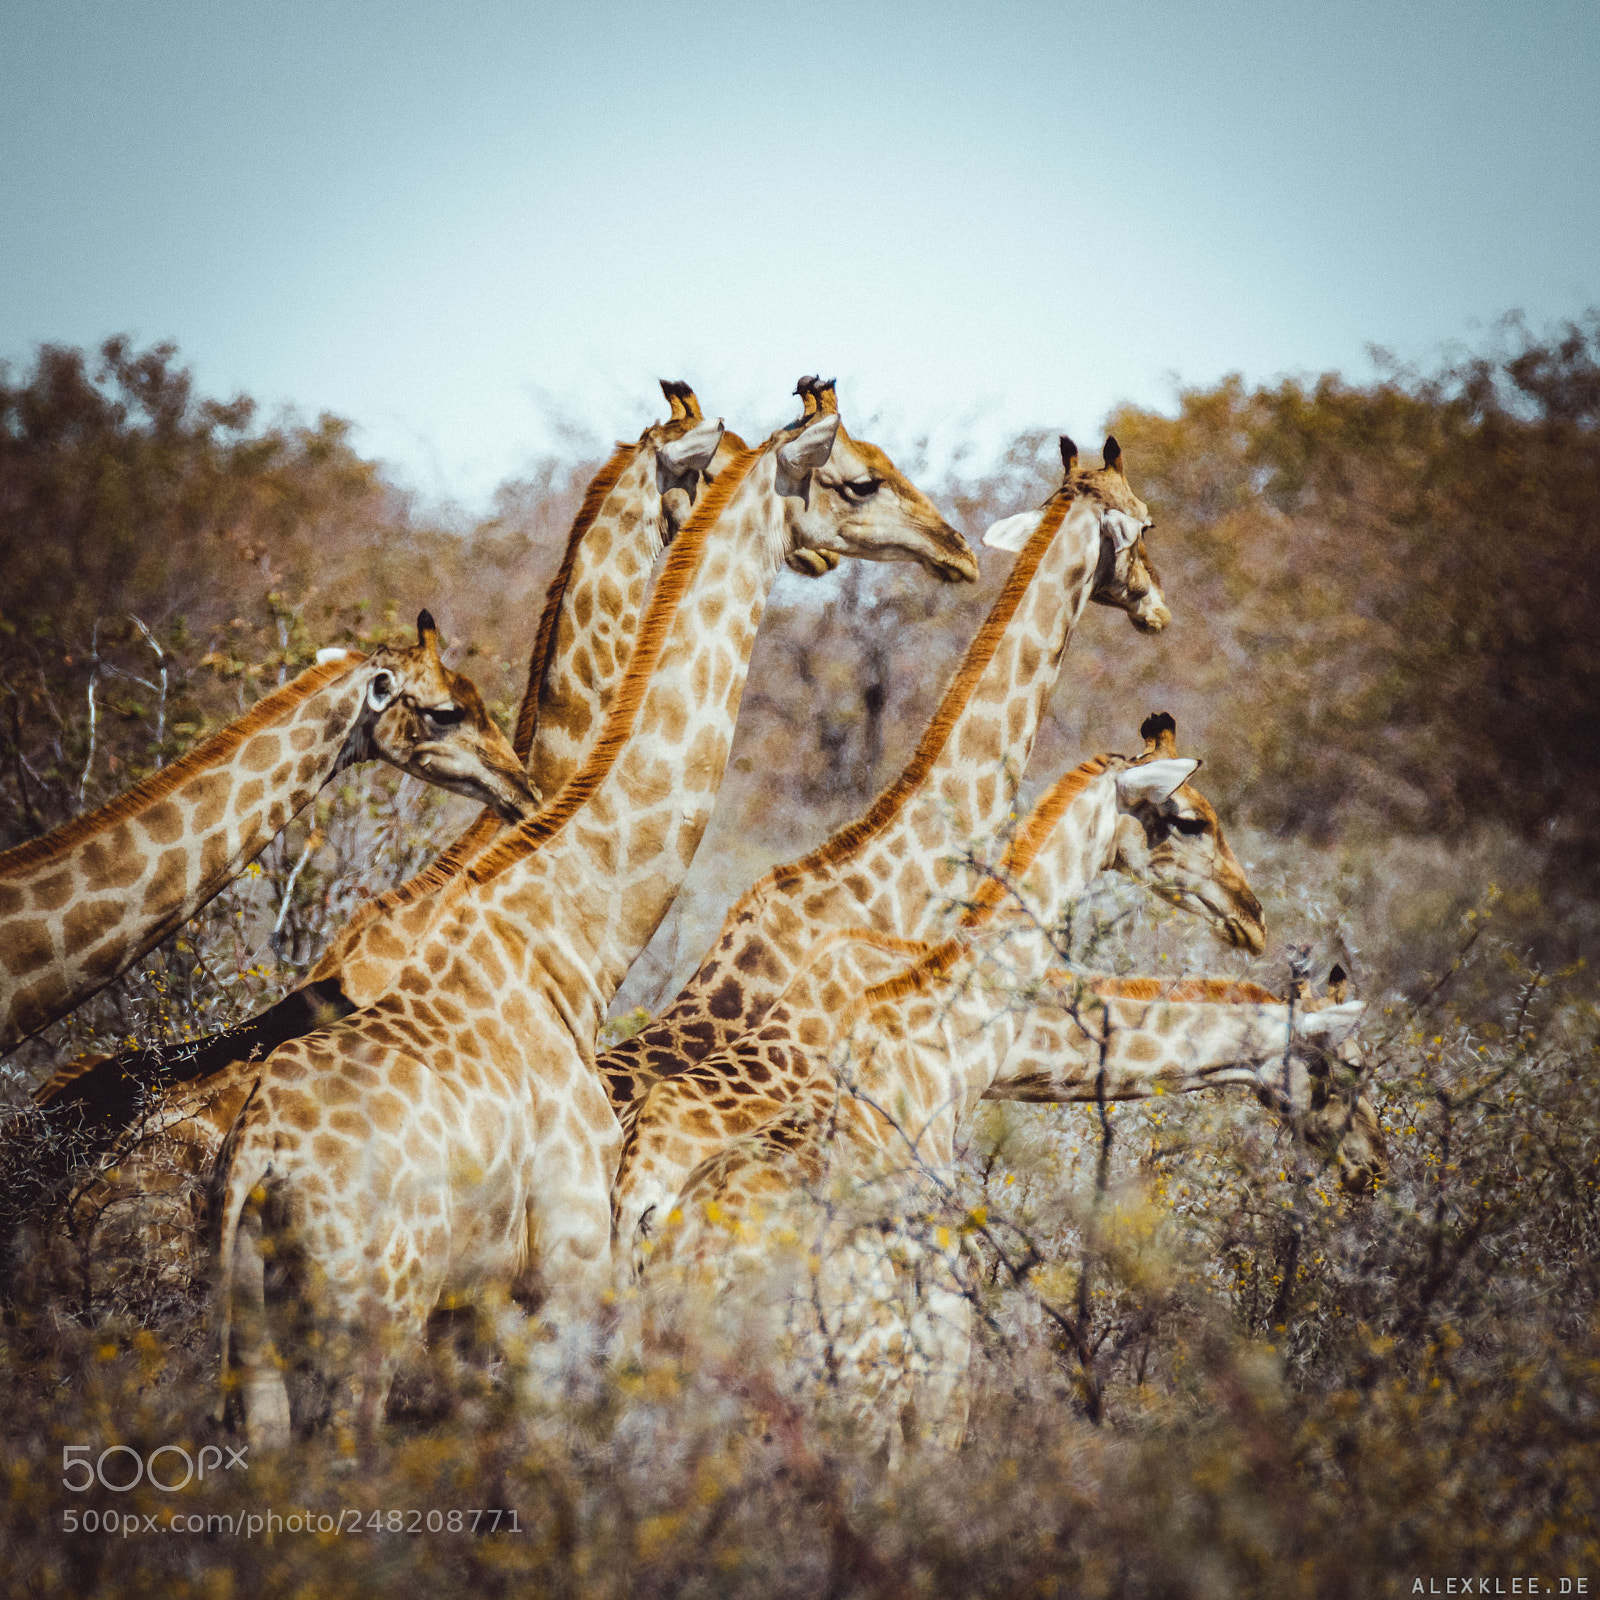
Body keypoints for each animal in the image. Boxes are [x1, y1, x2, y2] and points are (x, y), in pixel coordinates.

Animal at [213, 385, 981, 1446]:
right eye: (854, 477)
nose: (959, 549)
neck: (561, 933)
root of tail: (258, 1165)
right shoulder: (565, 1266)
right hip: (377, 1311)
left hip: (254, 1339)